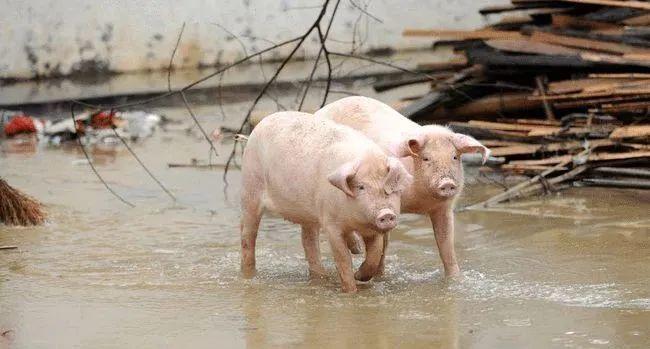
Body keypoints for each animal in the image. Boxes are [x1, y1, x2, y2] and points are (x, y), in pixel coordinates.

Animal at [238, 111, 410, 290]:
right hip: (250, 187)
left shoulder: (371, 228)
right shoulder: (331, 224)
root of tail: (261, 123)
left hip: (308, 214)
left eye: (390, 186)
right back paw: (249, 274)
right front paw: (351, 290)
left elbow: (375, 255)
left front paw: (360, 275)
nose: (386, 213)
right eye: (361, 187)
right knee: (248, 235)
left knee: (309, 241)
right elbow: (343, 259)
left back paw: (325, 274)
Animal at [314, 96, 486, 276]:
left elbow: (446, 245)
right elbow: (383, 242)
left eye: (454, 157)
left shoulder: (444, 208)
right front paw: (375, 276)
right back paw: (357, 249)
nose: (447, 182)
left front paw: (454, 278)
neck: (419, 202)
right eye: (426, 158)